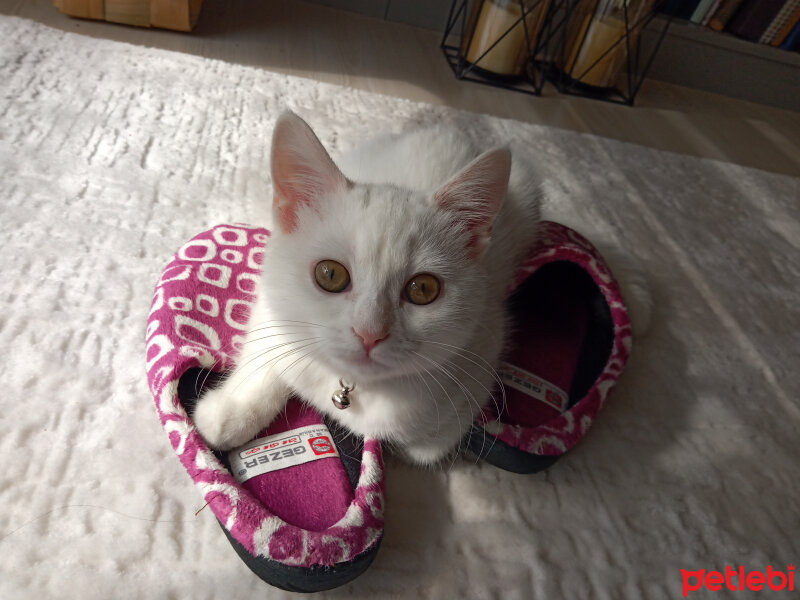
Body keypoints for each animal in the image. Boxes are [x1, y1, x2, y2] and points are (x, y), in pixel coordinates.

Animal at [192, 113, 648, 468]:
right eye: (330, 275)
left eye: (424, 288)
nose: (369, 333)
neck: (355, 390)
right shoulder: (271, 301)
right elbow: (272, 346)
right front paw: (230, 411)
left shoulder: (484, 343)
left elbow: (427, 444)